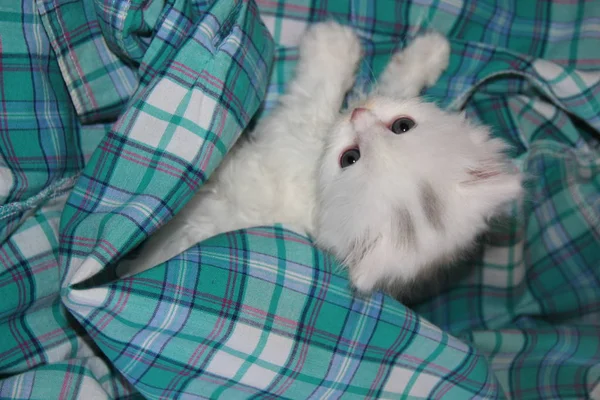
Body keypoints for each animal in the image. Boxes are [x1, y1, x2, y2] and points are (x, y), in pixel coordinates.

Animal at [118, 20, 520, 298]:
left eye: (350, 158)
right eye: (402, 126)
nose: (358, 115)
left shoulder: (290, 132)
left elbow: (316, 94)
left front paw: (331, 44)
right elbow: (388, 86)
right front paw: (428, 53)